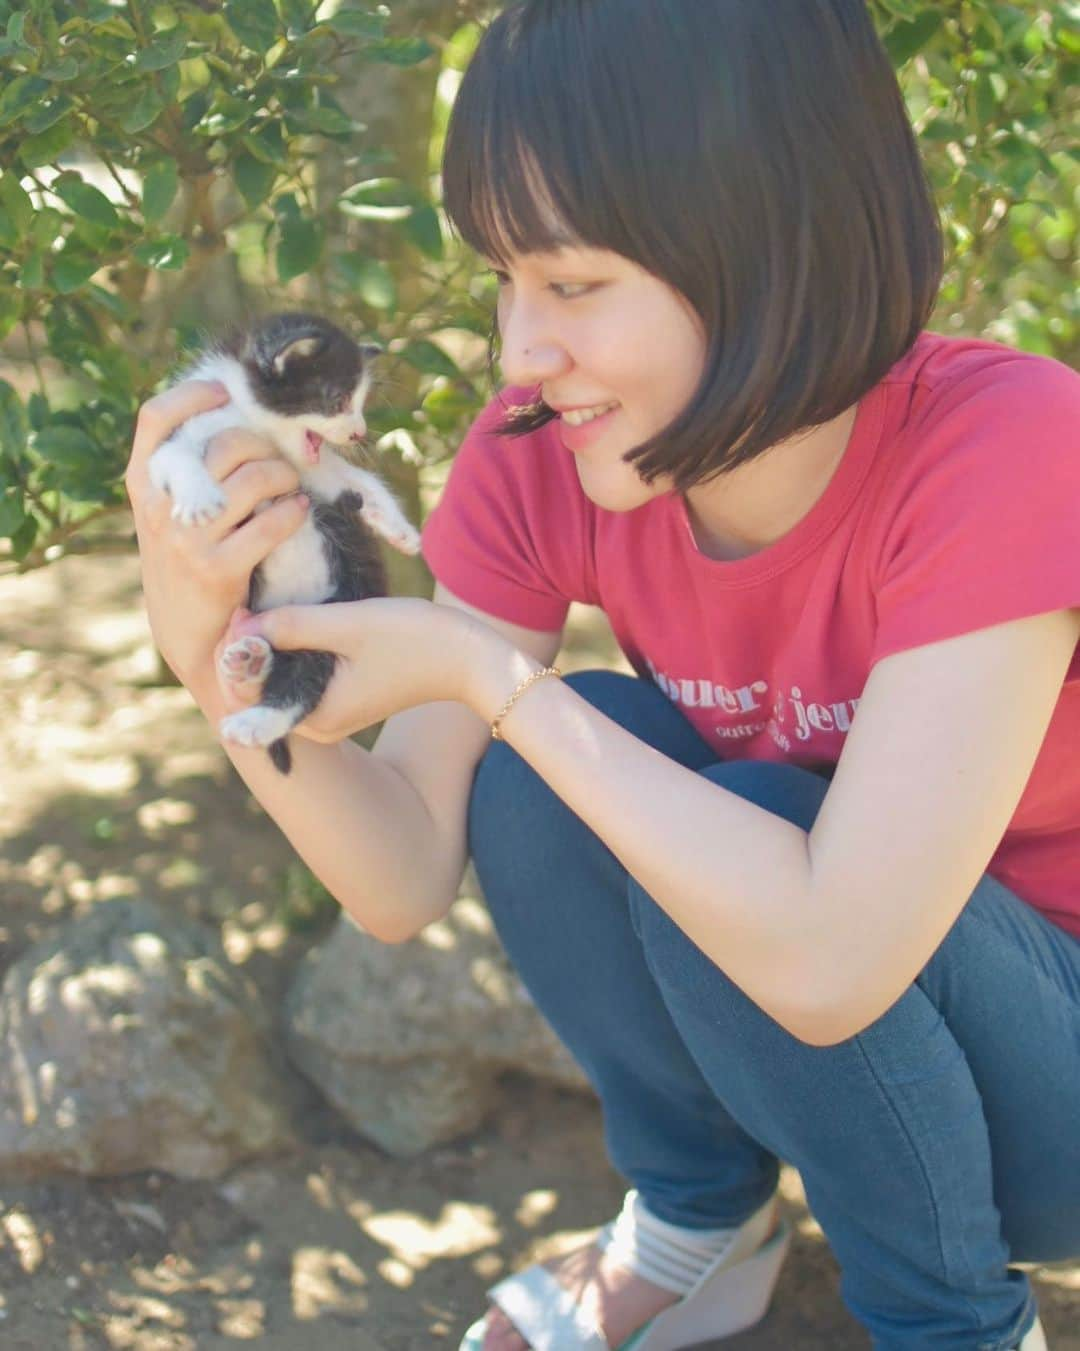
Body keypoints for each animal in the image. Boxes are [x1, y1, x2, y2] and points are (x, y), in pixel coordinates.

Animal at [150, 308, 419, 772]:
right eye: (338, 399)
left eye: (360, 401)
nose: (359, 433)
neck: (251, 422)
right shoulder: (182, 432)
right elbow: (174, 456)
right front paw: (199, 497)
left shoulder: (310, 471)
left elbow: (355, 480)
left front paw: (399, 527)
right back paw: (251, 668)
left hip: (334, 609)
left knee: (304, 678)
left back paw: (255, 717)